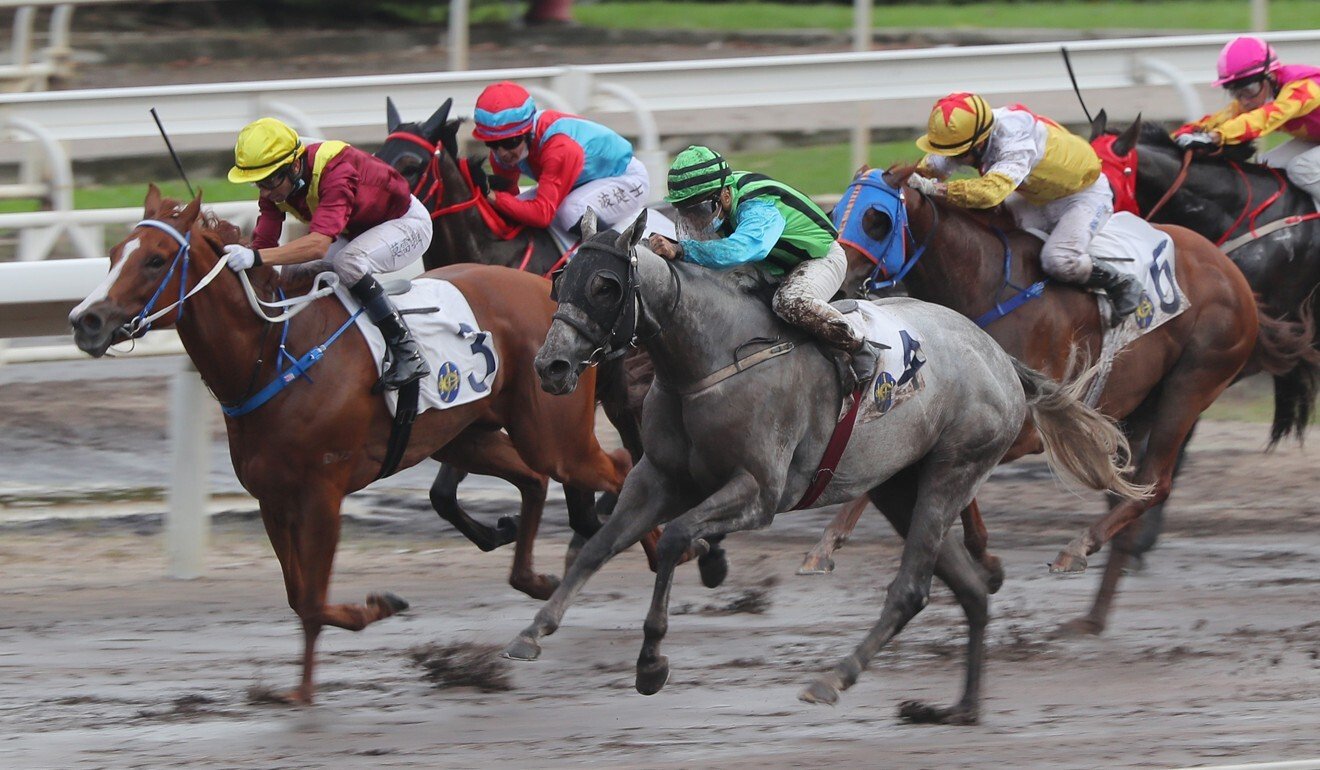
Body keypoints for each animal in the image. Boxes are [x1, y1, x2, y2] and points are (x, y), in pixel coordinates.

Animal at [66, 186, 633, 702]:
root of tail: (552, 293)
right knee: (536, 479)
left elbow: (313, 600)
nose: (85, 321)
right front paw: (310, 678)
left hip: (555, 437)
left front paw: (324, 666)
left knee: (620, 469)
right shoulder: (273, 498)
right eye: (113, 255)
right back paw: (536, 577)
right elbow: (299, 597)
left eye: (156, 260)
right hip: (464, 437)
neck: (274, 355)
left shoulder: (322, 494)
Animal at [498, 210, 1140, 723]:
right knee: (972, 591)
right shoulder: (659, 475)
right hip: (900, 485)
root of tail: (999, 358)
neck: (710, 357)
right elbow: (600, 545)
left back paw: (834, 678)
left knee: (912, 589)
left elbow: (678, 535)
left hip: (952, 470)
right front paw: (531, 633)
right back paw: (960, 709)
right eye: (559, 280)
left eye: (605, 285)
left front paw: (652, 663)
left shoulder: (759, 491)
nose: (551, 366)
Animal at [797, 165, 1314, 636]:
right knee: (1127, 490)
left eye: (877, 219)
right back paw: (1093, 614)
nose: (839, 281)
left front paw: (987, 562)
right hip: (1135, 408)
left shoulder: (1024, 426)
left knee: (1156, 484)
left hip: (1190, 384)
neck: (983, 286)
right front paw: (828, 543)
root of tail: (1233, 273)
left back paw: (1077, 550)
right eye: (835, 213)